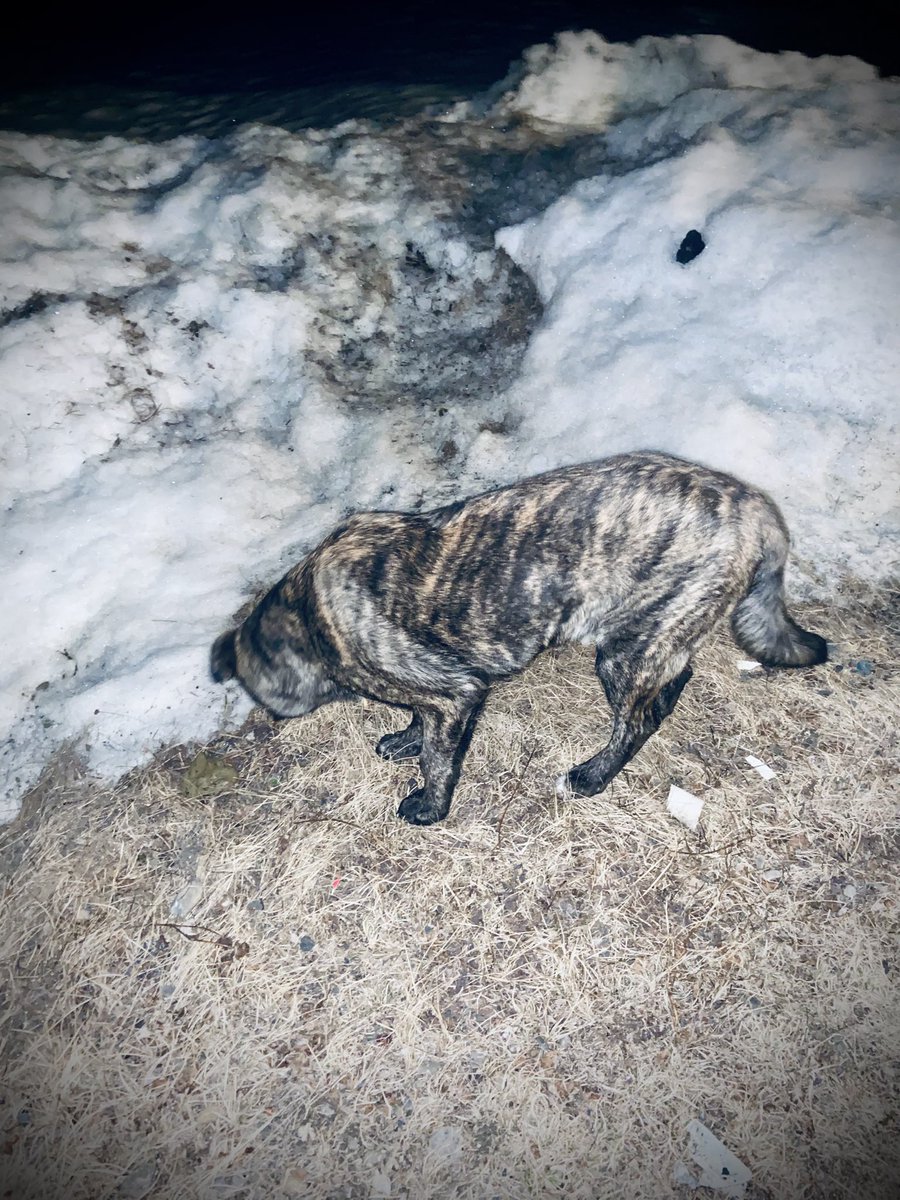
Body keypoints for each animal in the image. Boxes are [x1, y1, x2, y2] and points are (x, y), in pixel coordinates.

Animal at [211, 452, 827, 826]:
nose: (272, 719)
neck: (306, 609)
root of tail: (757, 509)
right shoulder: (437, 695)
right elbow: (418, 725)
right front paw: (405, 739)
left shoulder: (454, 694)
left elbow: (438, 759)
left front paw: (429, 806)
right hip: (653, 634)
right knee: (676, 679)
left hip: (623, 654)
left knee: (638, 722)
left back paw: (592, 775)